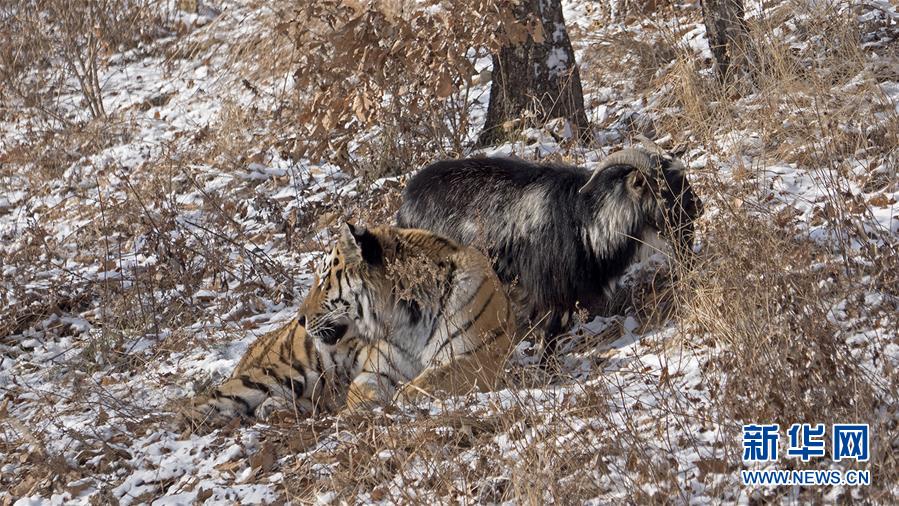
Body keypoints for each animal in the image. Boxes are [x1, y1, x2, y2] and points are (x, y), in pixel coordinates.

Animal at [184, 223, 516, 428]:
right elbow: (362, 392)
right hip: (280, 373)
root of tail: (248, 350)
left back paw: (275, 409)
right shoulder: (377, 369)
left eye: (323, 280)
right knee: (200, 404)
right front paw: (356, 411)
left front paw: (399, 400)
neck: (409, 318)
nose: (300, 319)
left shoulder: (477, 360)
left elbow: (429, 382)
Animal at [396, 136, 704, 354]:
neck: (586, 219)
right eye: (661, 187)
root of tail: (405, 204)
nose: (697, 207)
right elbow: (552, 334)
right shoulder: (549, 290)